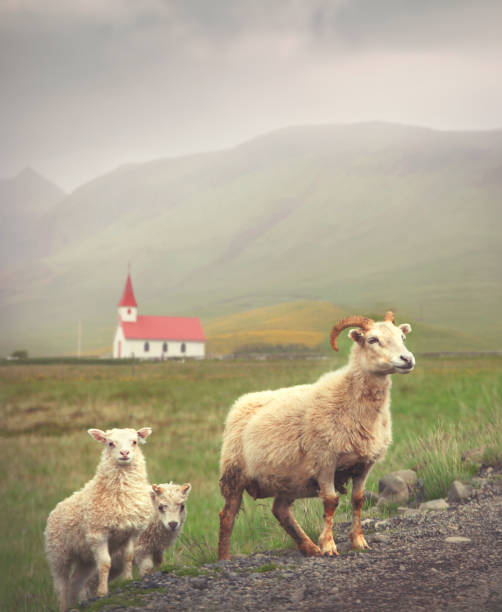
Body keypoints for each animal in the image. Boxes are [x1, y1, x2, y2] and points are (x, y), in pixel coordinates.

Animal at [43, 428, 153, 608]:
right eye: (110, 443)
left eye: (134, 442)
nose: (125, 453)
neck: (120, 495)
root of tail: (56, 507)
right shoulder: (98, 534)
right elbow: (105, 564)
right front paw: (102, 592)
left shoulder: (132, 531)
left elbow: (128, 557)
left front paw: (128, 580)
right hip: (58, 553)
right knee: (61, 584)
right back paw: (65, 606)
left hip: (85, 557)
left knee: (75, 581)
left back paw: (76, 603)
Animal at [218, 310, 414, 560]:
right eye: (373, 340)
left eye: (402, 336)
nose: (407, 359)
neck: (349, 397)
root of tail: (240, 403)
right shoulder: (325, 460)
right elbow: (330, 502)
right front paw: (329, 545)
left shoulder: (364, 464)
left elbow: (358, 500)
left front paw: (358, 540)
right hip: (233, 475)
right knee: (227, 517)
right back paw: (223, 558)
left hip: (290, 479)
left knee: (280, 510)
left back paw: (309, 547)